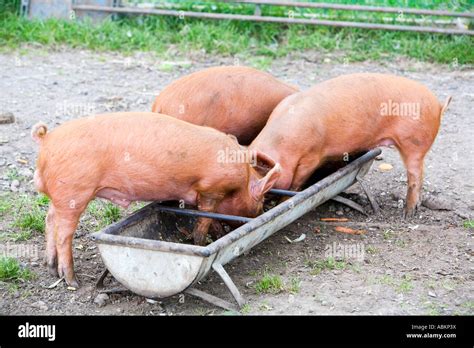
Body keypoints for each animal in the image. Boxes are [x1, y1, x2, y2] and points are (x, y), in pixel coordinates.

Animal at [30, 112, 282, 288]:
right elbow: (204, 220)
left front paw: (216, 234)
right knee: (63, 233)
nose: (260, 212)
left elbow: (209, 218)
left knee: (49, 220)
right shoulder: (211, 189)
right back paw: (72, 281)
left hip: (61, 197)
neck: (242, 178)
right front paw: (201, 243)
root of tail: (47, 138)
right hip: (74, 192)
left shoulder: (198, 196)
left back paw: (50, 268)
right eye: (260, 201)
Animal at [248, 73, 452, 219]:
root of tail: (438, 105)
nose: (263, 207)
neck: (282, 143)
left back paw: (408, 214)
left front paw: (283, 201)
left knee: (415, 175)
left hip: (414, 142)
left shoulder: (311, 157)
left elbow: (296, 183)